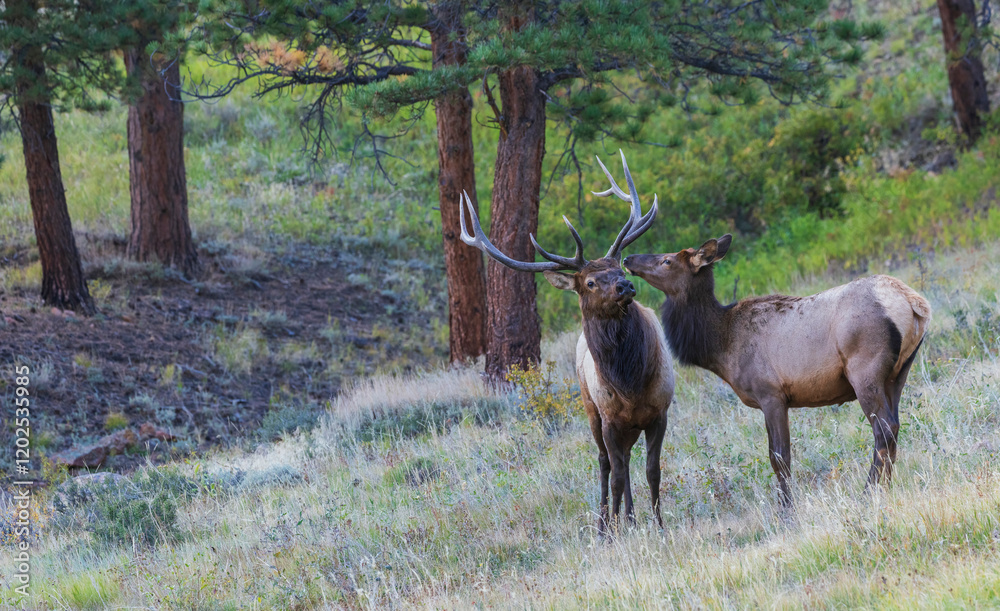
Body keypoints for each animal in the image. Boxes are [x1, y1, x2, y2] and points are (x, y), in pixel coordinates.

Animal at [459, 151, 674, 534]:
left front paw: (659, 525)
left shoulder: (659, 411)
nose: (625, 285)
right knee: (607, 463)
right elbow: (616, 475)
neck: (631, 383)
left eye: (619, 267)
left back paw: (629, 518)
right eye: (589, 282)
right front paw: (610, 531)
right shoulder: (608, 417)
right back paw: (608, 521)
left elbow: (652, 471)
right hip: (590, 410)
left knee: (625, 463)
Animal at [623, 235, 931, 507]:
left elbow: (779, 457)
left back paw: (868, 493)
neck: (722, 346)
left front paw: (787, 510)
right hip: (898, 373)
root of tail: (915, 303)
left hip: (865, 369)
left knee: (884, 429)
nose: (628, 259)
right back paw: (885, 489)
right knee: (895, 426)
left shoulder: (771, 393)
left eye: (667, 260)